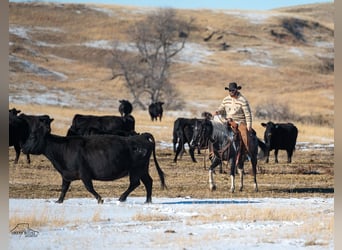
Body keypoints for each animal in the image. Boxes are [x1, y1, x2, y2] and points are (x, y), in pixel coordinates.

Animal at [21, 120, 166, 204]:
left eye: (32, 136)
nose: (23, 148)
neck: (63, 147)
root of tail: (141, 136)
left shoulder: (84, 173)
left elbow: (89, 187)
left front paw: (100, 199)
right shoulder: (66, 174)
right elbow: (64, 188)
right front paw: (58, 201)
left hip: (136, 169)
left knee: (135, 183)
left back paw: (122, 198)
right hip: (142, 169)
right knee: (148, 182)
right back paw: (147, 201)